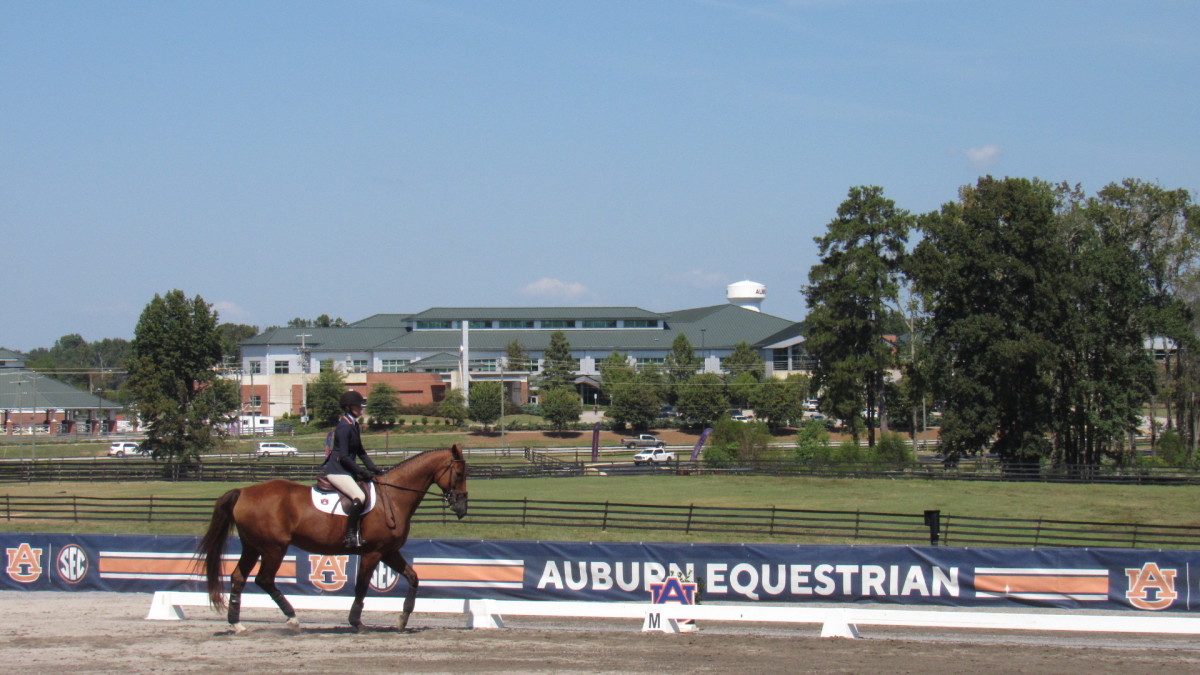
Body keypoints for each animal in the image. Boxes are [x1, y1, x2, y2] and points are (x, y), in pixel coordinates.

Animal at [194, 441, 465, 629]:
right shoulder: (373, 552)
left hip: (253, 546)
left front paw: (403, 619)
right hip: (274, 548)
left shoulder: (388, 552)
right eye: (460, 474)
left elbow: (413, 577)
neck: (394, 497)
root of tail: (243, 491)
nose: (462, 508)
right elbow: (361, 586)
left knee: (238, 577)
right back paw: (292, 619)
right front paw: (356, 622)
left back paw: (236, 623)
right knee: (264, 580)